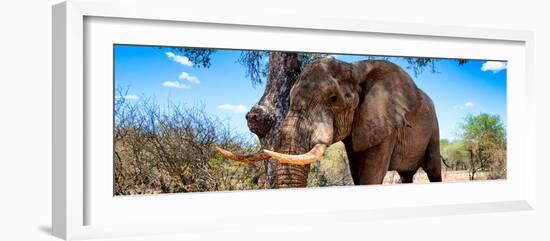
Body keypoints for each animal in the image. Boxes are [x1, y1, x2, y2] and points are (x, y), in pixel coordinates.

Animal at [217, 57, 444, 187]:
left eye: (333, 99)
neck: (354, 67)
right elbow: (357, 176)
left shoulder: (384, 125)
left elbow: (370, 177)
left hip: (434, 128)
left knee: (433, 169)